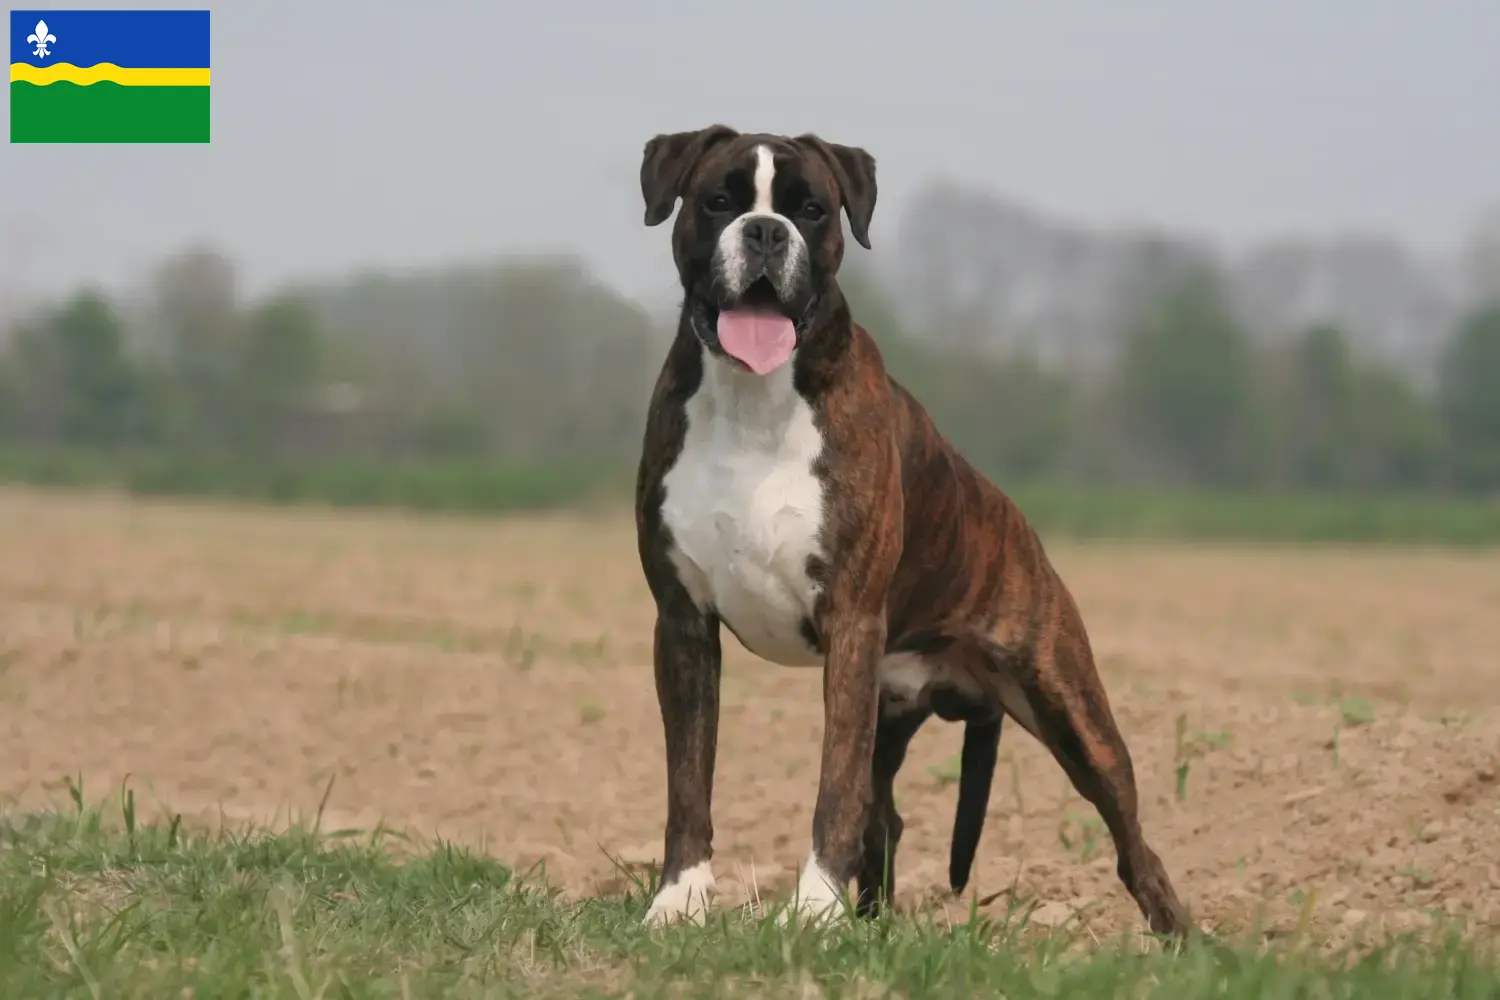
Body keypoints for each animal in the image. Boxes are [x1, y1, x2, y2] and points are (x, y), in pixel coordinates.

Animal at [627, 125, 1188, 941]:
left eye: (812, 209)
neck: (754, 398)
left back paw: (1184, 941)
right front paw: (681, 901)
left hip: (1073, 714)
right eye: (720, 200)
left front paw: (813, 912)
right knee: (883, 817)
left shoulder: (852, 625)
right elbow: (688, 780)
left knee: (1134, 847)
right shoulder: (683, 624)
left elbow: (834, 788)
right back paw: (872, 923)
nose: (766, 232)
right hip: (894, 702)